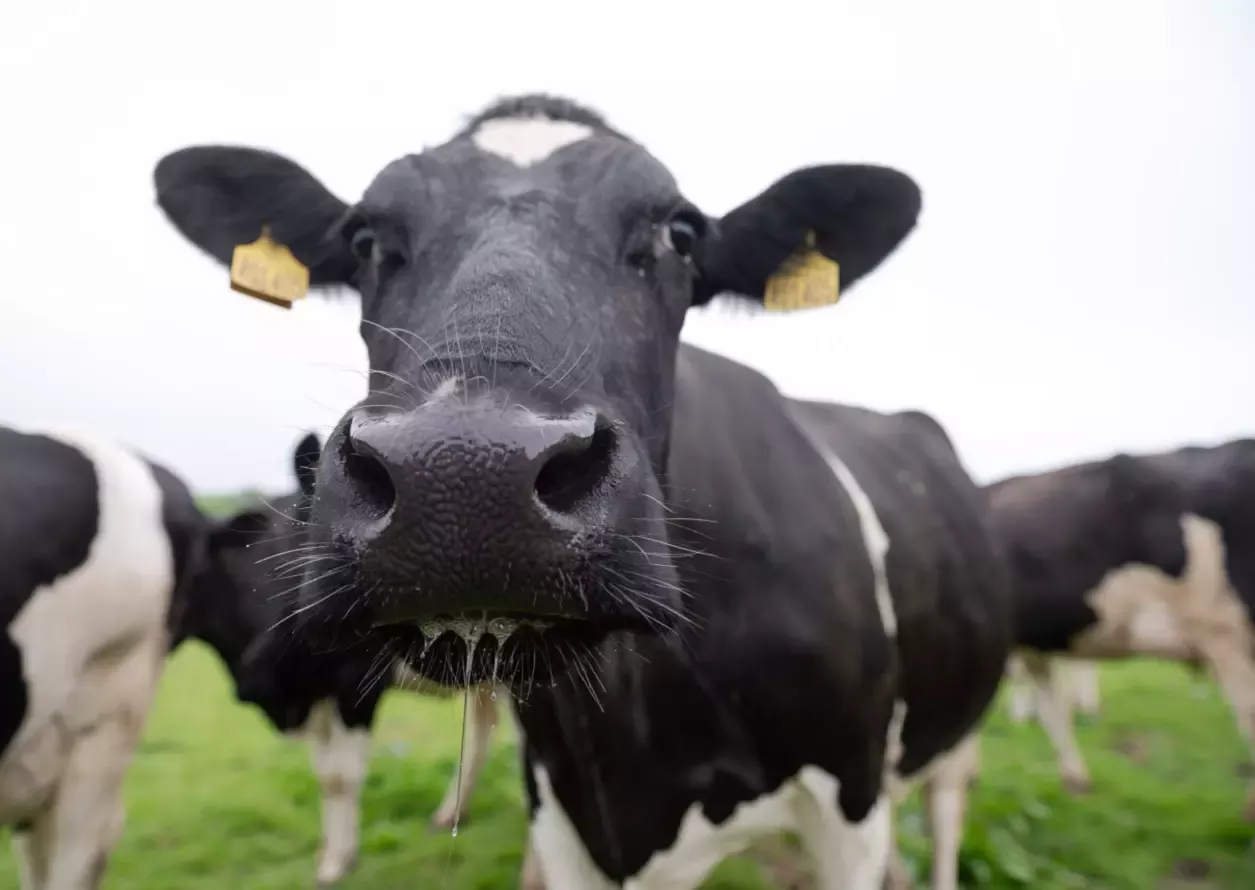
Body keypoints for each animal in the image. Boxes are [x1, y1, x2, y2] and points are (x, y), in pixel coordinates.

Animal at [197, 432, 506, 886]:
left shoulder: (355, 686)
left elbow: (344, 776)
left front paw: (339, 862)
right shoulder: (316, 694)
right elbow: (326, 775)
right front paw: (329, 852)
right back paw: (452, 812)